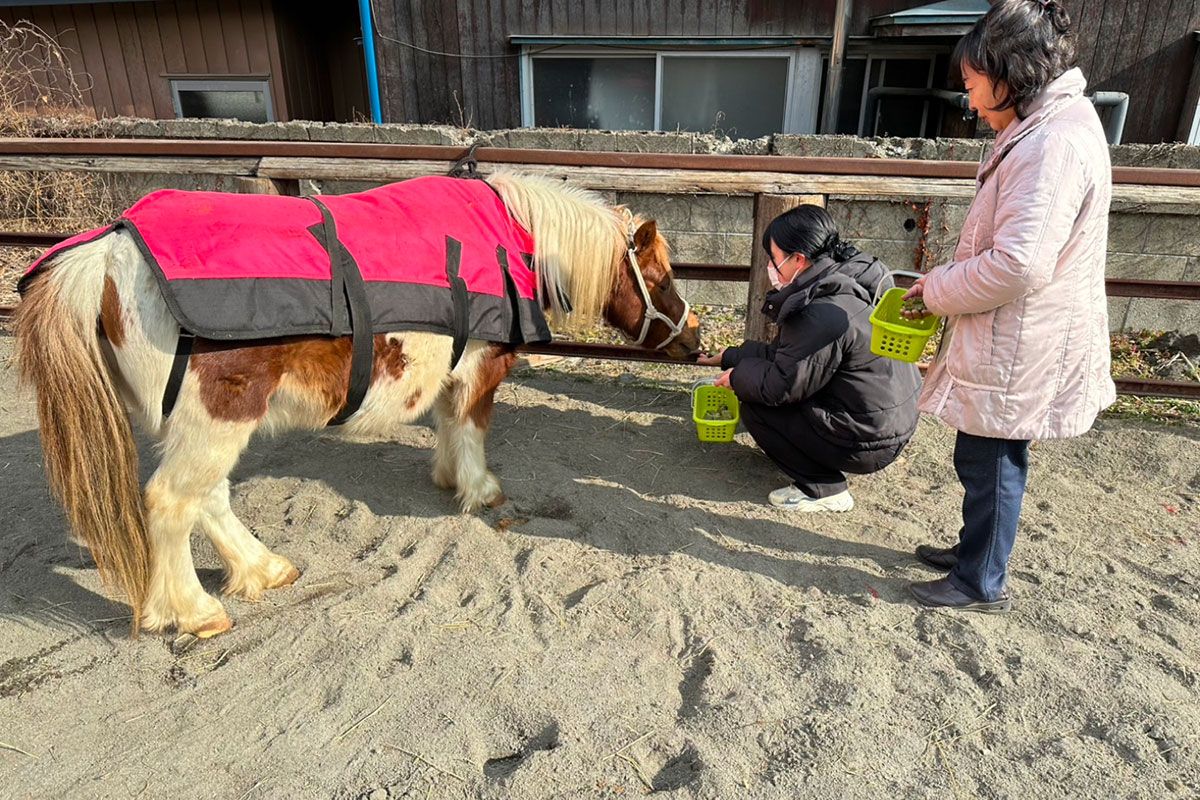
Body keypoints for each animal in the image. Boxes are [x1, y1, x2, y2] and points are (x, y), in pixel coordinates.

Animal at [14, 170, 701, 639]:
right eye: (662, 277)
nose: (696, 341)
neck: (512, 237)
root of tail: (107, 251)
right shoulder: (480, 371)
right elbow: (471, 427)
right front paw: (479, 490)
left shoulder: (450, 370)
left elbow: (447, 424)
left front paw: (448, 476)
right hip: (216, 417)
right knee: (170, 503)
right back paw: (195, 610)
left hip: (195, 425)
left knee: (206, 499)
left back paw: (262, 569)